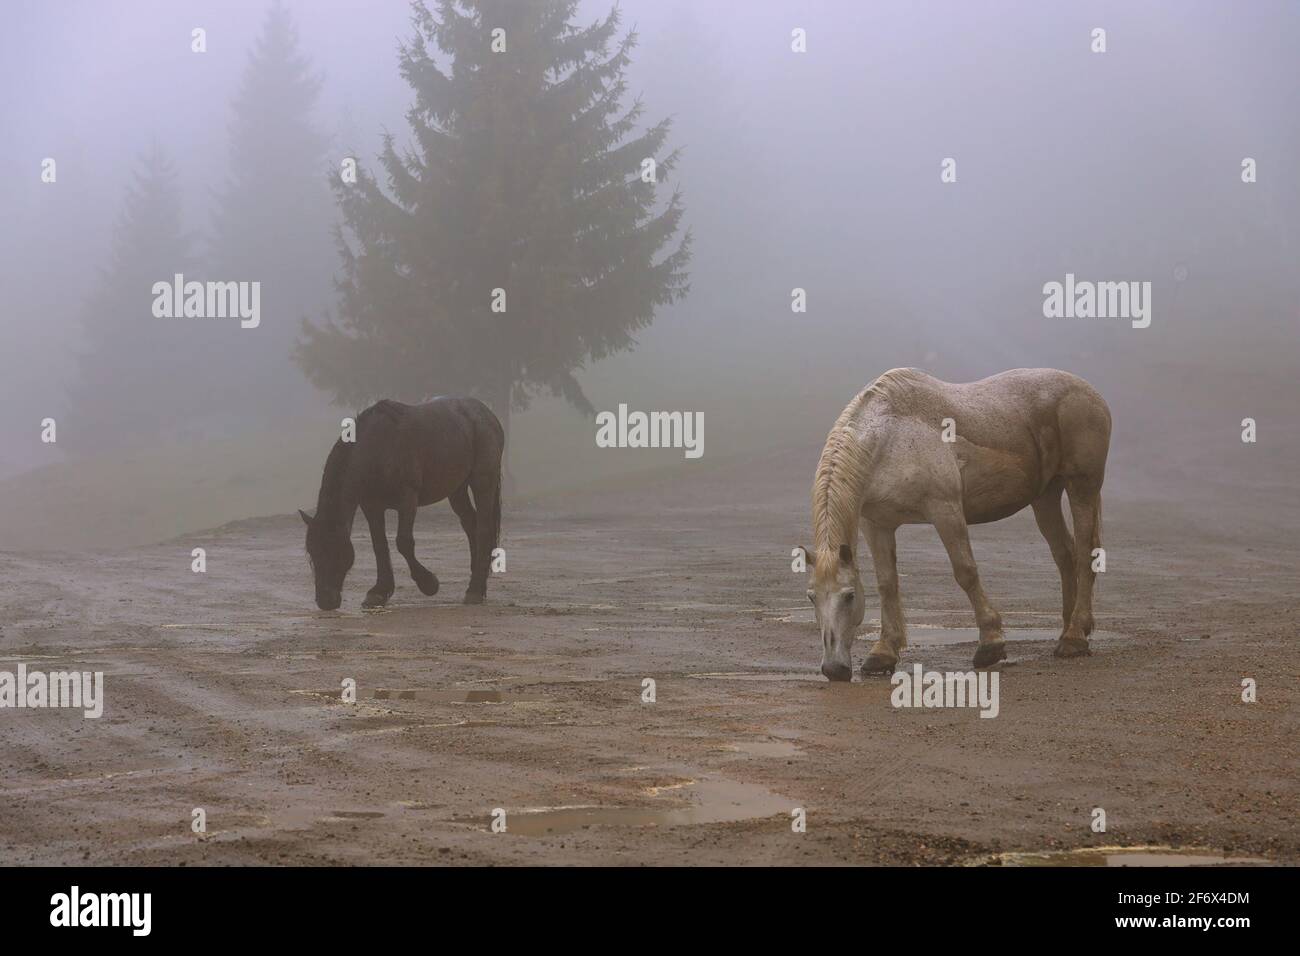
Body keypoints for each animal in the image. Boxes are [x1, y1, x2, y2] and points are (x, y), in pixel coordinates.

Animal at [299, 398, 501, 608]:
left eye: (334, 549)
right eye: (312, 553)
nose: (325, 601)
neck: (377, 448)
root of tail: (485, 414)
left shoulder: (407, 500)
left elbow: (403, 542)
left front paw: (428, 583)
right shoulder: (371, 506)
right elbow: (379, 545)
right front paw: (379, 592)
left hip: (483, 483)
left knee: (483, 529)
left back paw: (475, 590)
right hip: (457, 490)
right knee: (470, 524)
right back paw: (478, 582)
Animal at [795, 366, 1112, 681]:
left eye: (849, 596)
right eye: (811, 597)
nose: (833, 669)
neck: (889, 440)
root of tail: (1089, 392)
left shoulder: (945, 511)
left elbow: (965, 572)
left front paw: (990, 644)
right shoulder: (877, 524)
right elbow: (887, 583)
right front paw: (883, 653)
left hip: (1082, 487)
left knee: (1085, 552)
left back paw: (1074, 638)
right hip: (1046, 497)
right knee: (1065, 555)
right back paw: (1069, 629)